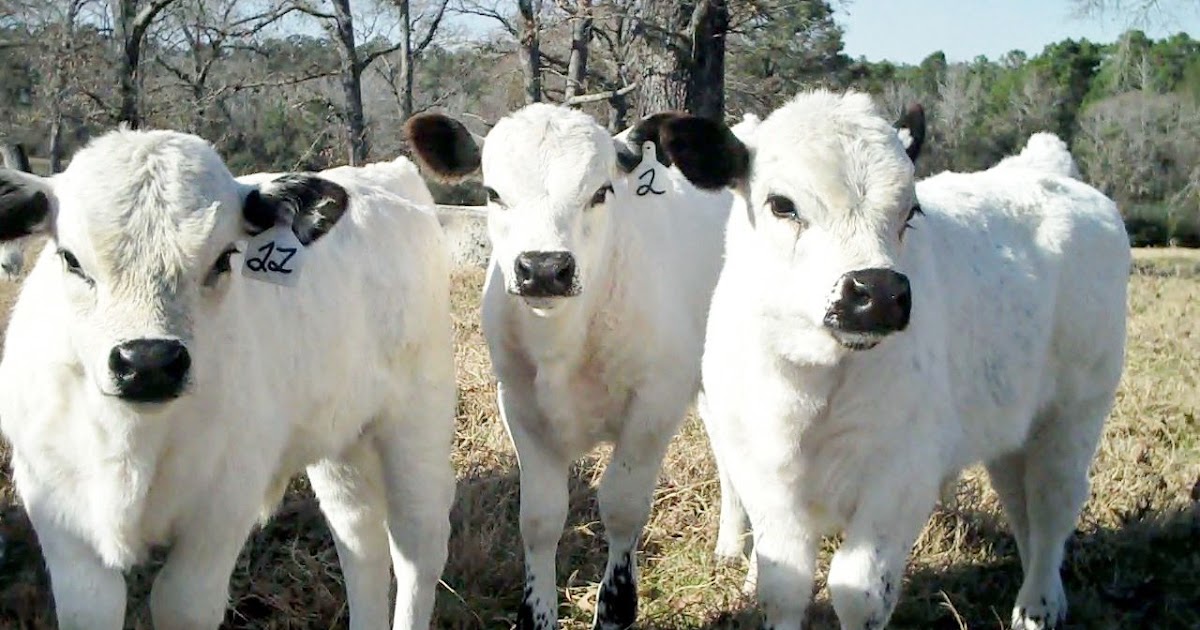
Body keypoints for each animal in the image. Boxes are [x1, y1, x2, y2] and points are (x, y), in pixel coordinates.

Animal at [0, 127, 456, 630]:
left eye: (224, 259)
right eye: (71, 259)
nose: (148, 362)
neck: (134, 439)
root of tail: (386, 171)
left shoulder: (223, 505)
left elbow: (182, 603)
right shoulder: (55, 507)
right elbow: (92, 606)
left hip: (419, 417)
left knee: (417, 544)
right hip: (340, 436)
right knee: (359, 537)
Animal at [404, 104, 732, 629]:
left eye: (601, 191)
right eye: (493, 193)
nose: (542, 268)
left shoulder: (653, 407)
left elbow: (621, 508)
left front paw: (616, 609)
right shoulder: (519, 406)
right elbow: (540, 517)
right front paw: (535, 615)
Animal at [637, 89, 1130, 630]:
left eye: (910, 211)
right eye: (781, 204)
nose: (876, 292)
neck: (810, 386)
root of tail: (1045, 167)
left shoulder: (901, 476)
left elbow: (858, 591)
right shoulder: (762, 474)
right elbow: (783, 586)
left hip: (1074, 411)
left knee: (1052, 504)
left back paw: (1038, 605)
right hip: (1012, 427)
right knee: (1020, 505)